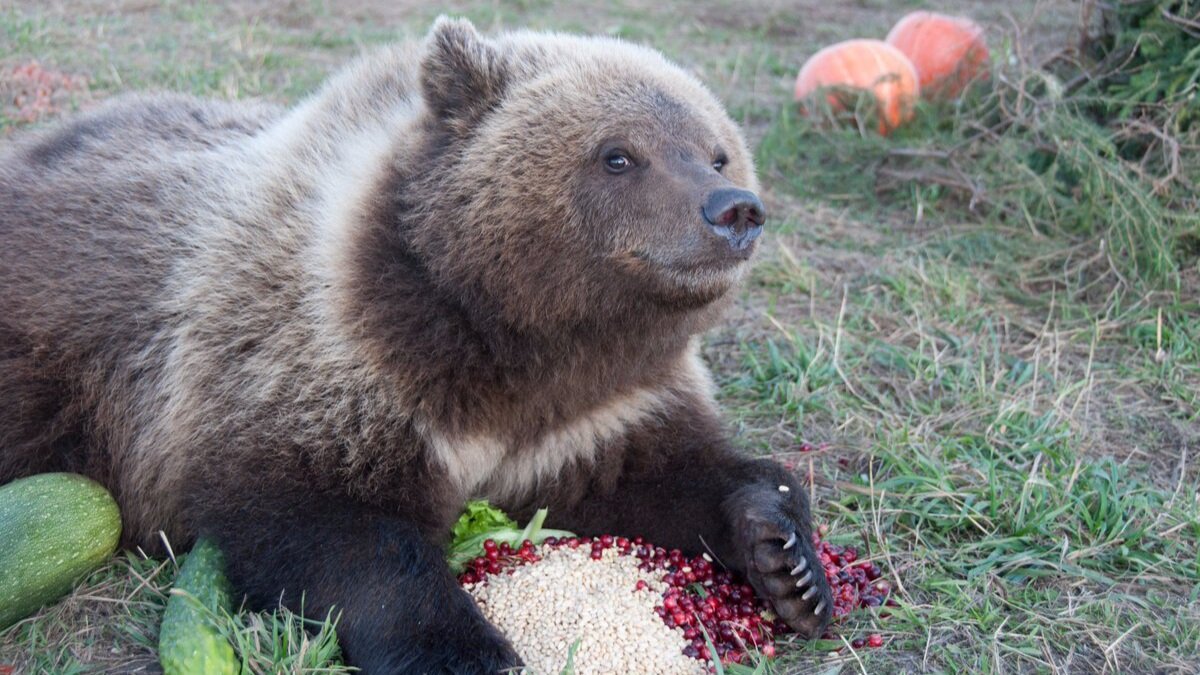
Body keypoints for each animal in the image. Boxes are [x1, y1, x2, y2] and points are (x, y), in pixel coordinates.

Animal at [0, 18, 830, 667]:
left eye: (715, 151)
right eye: (618, 154)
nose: (734, 210)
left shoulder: (595, 410)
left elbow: (664, 472)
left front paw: (787, 560)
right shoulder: (323, 365)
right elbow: (331, 523)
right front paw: (469, 648)